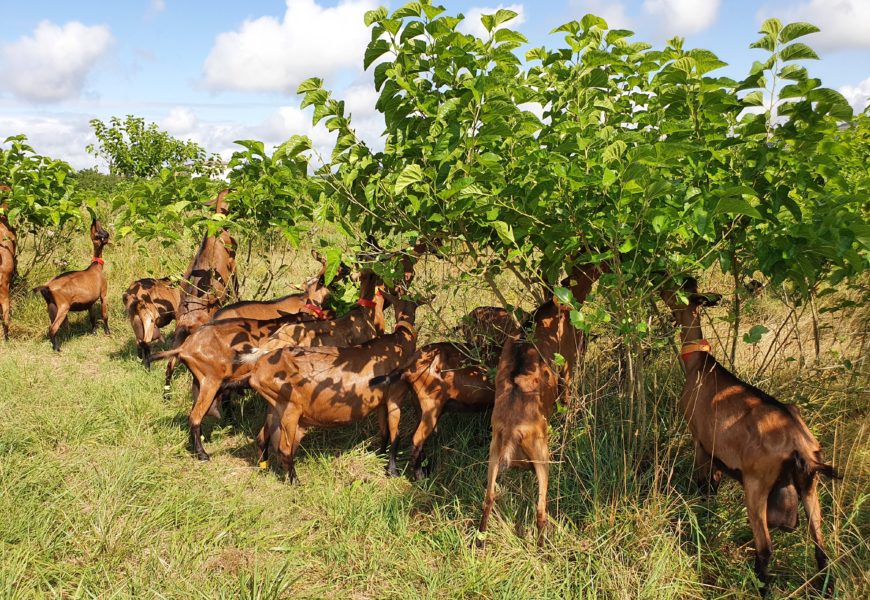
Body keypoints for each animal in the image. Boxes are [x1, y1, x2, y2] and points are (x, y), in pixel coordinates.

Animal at [34, 218, 110, 352]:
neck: (96, 267)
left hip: (51, 307)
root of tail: (47, 287)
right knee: (53, 328)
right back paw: (57, 348)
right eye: (102, 232)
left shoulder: (90, 302)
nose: (95, 219)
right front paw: (108, 332)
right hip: (63, 307)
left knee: (54, 327)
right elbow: (105, 315)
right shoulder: (103, 294)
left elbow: (92, 318)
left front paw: (94, 332)